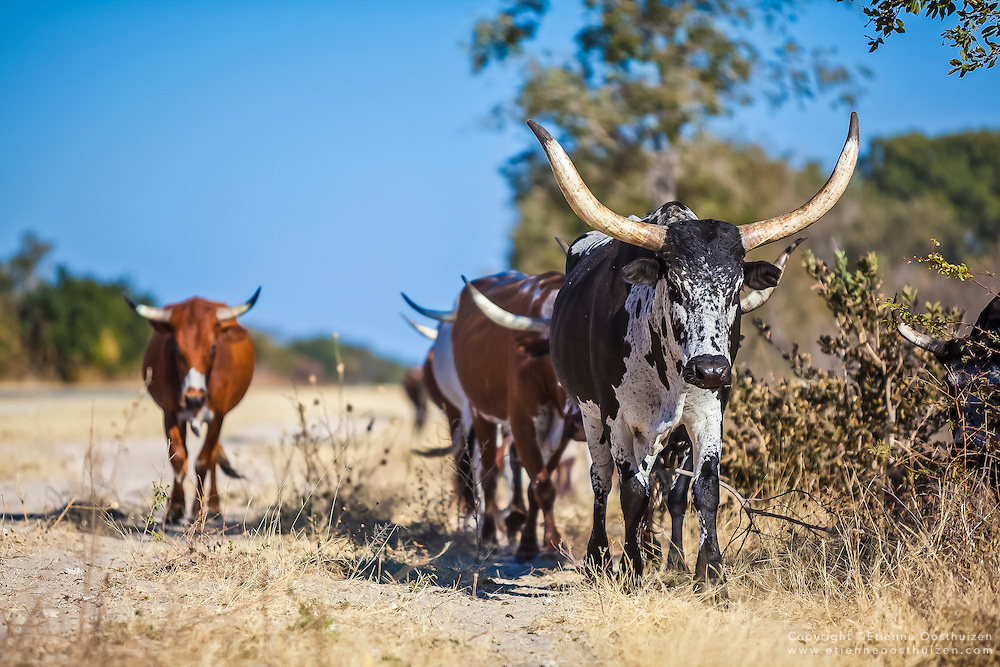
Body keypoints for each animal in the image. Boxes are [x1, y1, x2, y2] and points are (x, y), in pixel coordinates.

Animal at [125, 290, 260, 524]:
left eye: (213, 347)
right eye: (178, 349)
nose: (193, 399)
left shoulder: (217, 416)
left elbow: (203, 461)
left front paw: (198, 511)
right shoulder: (170, 413)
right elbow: (179, 457)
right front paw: (175, 508)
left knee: (211, 455)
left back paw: (213, 506)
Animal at [452, 270, 584, 560]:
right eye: (557, 357)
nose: (582, 421)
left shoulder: (561, 434)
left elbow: (537, 486)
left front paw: (535, 542)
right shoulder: (523, 423)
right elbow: (543, 486)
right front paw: (548, 545)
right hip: (481, 413)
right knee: (489, 474)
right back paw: (489, 534)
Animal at [532, 113, 860, 588]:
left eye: (735, 290)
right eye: (675, 285)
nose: (709, 369)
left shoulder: (707, 413)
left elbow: (703, 491)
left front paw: (709, 572)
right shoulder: (617, 418)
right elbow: (631, 492)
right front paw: (631, 570)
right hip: (590, 413)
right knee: (602, 480)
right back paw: (601, 558)